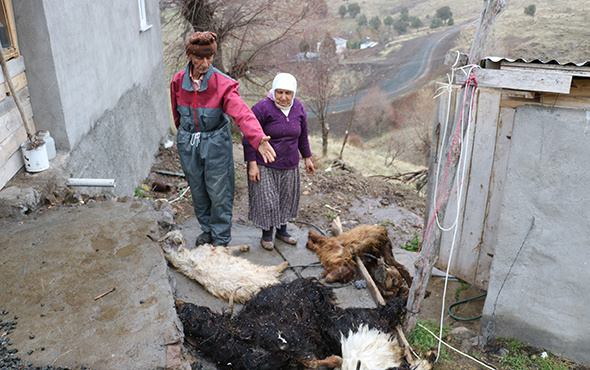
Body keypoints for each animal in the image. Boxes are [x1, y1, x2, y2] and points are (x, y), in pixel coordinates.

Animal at [151, 231, 290, 304]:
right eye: (176, 237)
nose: (184, 239)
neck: (185, 259)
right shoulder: (216, 250)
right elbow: (229, 248)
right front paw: (245, 247)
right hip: (264, 274)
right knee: (276, 270)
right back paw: (286, 263)